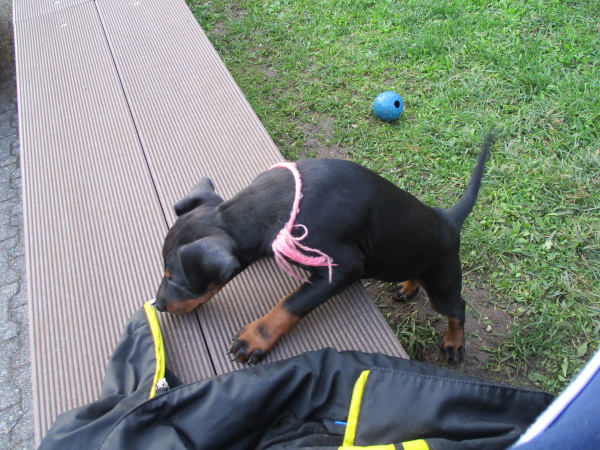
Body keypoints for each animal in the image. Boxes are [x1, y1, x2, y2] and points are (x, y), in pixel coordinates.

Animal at [156, 132, 494, 364]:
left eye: (177, 281)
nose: (158, 305)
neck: (276, 205)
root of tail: (448, 220)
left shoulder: (341, 267)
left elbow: (290, 304)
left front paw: (255, 337)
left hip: (443, 281)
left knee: (457, 308)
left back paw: (454, 343)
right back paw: (408, 287)